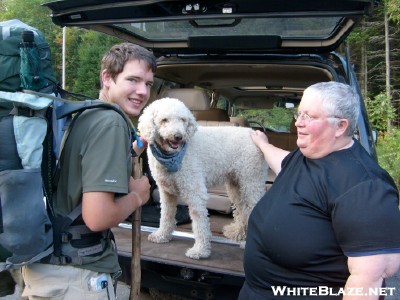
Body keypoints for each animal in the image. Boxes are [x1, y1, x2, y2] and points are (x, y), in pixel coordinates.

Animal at [138, 97, 268, 258]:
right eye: (164, 120)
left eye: (183, 120)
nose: (178, 136)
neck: (171, 156)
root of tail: (253, 132)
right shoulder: (166, 191)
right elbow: (166, 214)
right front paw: (162, 235)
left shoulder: (195, 191)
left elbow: (199, 222)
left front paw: (200, 250)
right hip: (236, 184)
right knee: (242, 208)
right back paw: (238, 232)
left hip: (251, 180)